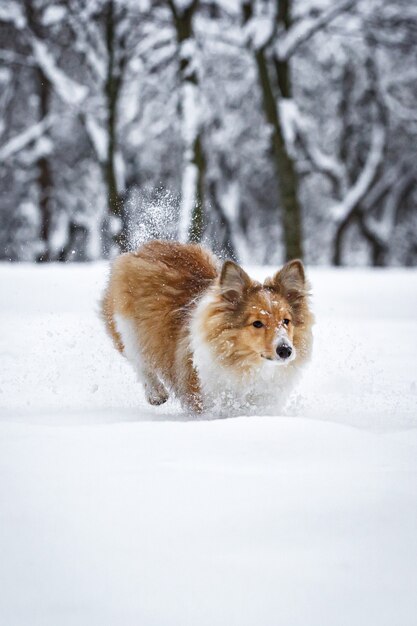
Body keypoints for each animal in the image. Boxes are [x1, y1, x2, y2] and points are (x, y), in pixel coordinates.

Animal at [100, 241, 312, 412]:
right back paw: (156, 393)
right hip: (127, 327)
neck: (248, 367)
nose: (285, 350)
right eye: (257, 323)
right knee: (139, 360)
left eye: (286, 321)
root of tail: (146, 247)